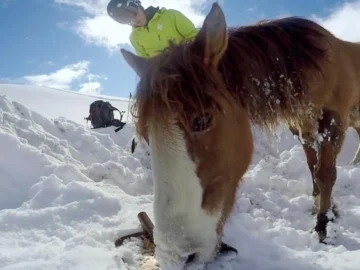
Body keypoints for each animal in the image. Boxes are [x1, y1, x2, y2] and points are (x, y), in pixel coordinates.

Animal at [120, 2, 360, 270]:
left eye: (202, 120)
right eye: (147, 134)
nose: (177, 257)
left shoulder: (334, 121)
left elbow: (326, 173)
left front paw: (323, 224)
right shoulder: (301, 125)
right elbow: (313, 166)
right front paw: (320, 203)